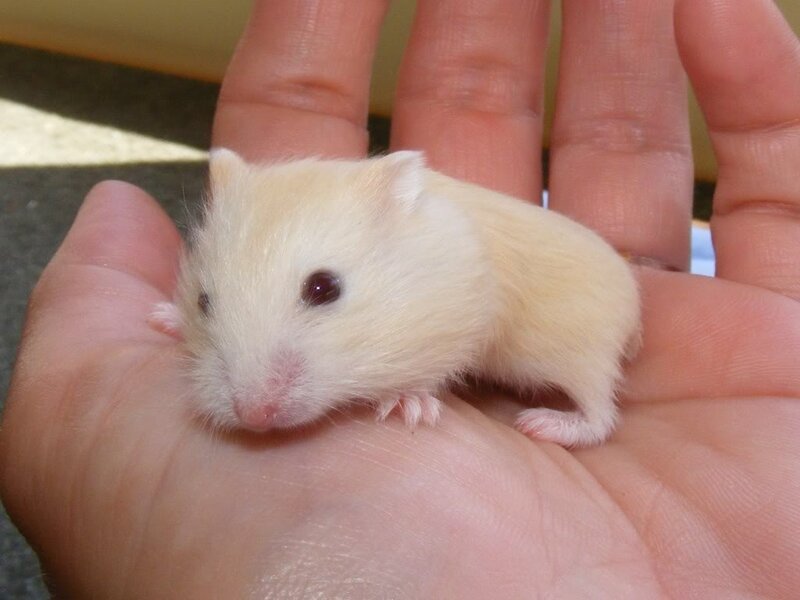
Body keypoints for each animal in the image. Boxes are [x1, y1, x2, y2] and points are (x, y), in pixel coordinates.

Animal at [151, 149, 641, 448]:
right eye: (204, 301)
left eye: (323, 287)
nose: (254, 418)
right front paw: (161, 317)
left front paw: (409, 407)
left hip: (583, 353)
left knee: (600, 413)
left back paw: (539, 423)